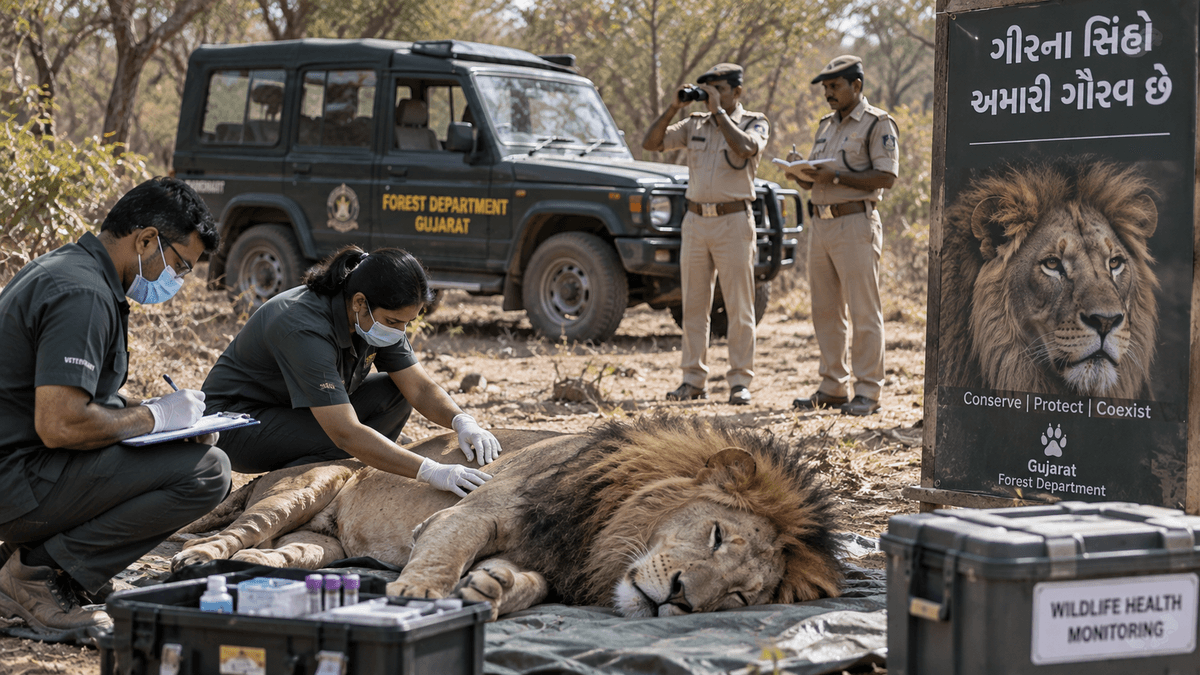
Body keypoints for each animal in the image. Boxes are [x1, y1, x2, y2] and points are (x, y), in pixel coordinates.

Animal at [171, 414, 843, 620]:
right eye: (716, 534)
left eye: (739, 597)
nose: (678, 597)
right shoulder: (474, 511)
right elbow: (441, 556)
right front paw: (419, 596)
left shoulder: (551, 561)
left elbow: (530, 585)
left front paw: (490, 589)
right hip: (308, 486)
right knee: (240, 528)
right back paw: (197, 557)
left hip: (324, 544)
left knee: (286, 551)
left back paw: (256, 570)